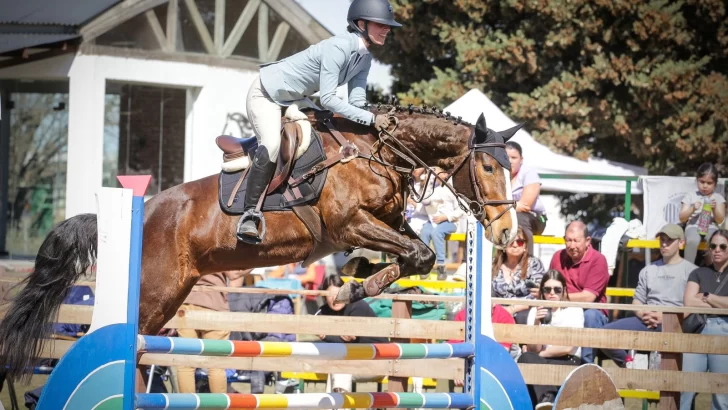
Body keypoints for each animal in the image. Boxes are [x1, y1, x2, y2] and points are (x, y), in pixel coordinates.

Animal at [0, 104, 520, 382]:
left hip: (167, 298)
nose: (507, 233)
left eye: (511, 167)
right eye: (489, 167)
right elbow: (415, 253)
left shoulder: (389, 222)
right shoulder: (350, 224)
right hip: (152, 293)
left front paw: (354, 286)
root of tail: (142, 211)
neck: (379, 152)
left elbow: (422, 255)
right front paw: (354, 287)